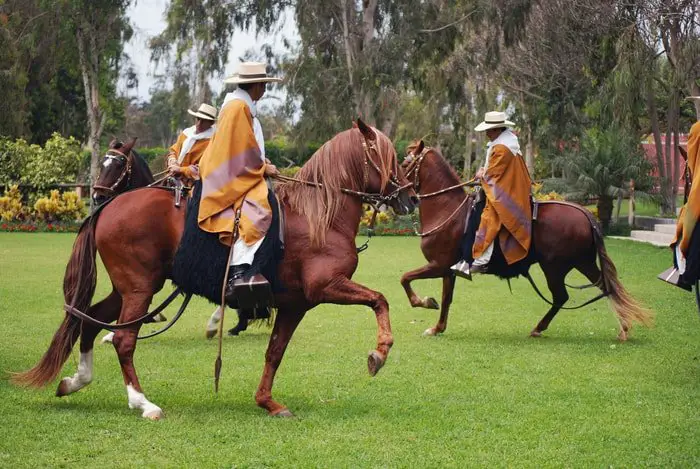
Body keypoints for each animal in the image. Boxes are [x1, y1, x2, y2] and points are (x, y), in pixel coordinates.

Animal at [12, 119, 416, 416]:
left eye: (118, 165)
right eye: (387, 156)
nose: (410, 195)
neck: (319, 214)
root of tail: (110, 207)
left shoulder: (295, 304)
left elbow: (275, 352)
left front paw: (267, 402)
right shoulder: (327, 285)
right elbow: (379, 299)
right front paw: (379, 352)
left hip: (128, 287)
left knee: (90, 320)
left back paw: (76, 381)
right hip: (140, 287)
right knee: (123, 339)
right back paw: (143, 403)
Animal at [402, 139, 652, 340]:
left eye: (404, 164)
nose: (405, 196)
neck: (447, 208)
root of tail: (586, 214)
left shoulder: (438, 265)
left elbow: (405, 278)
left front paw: (423, 302)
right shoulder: (448, 269)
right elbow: (446, 298)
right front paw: (437, 327)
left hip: (555, 267)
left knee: (562, 296)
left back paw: (540, 327)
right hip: (583, 263)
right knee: (605, 287)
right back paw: (623, 326)